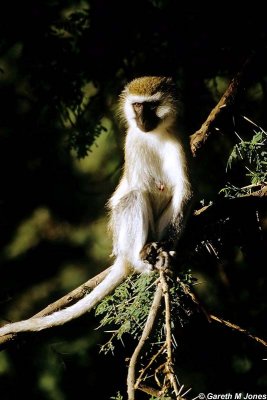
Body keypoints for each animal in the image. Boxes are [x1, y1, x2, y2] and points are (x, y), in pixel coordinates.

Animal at [0, 76, 193, 334]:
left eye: (151, 106)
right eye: (137, 106)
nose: (142, 120)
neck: (155, 135)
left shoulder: (179, 139)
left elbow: (183, 192)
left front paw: (166, 247)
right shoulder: (133, 141)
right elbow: (142, 187)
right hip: (122, 238)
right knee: (133, 197)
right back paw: (139, 258)